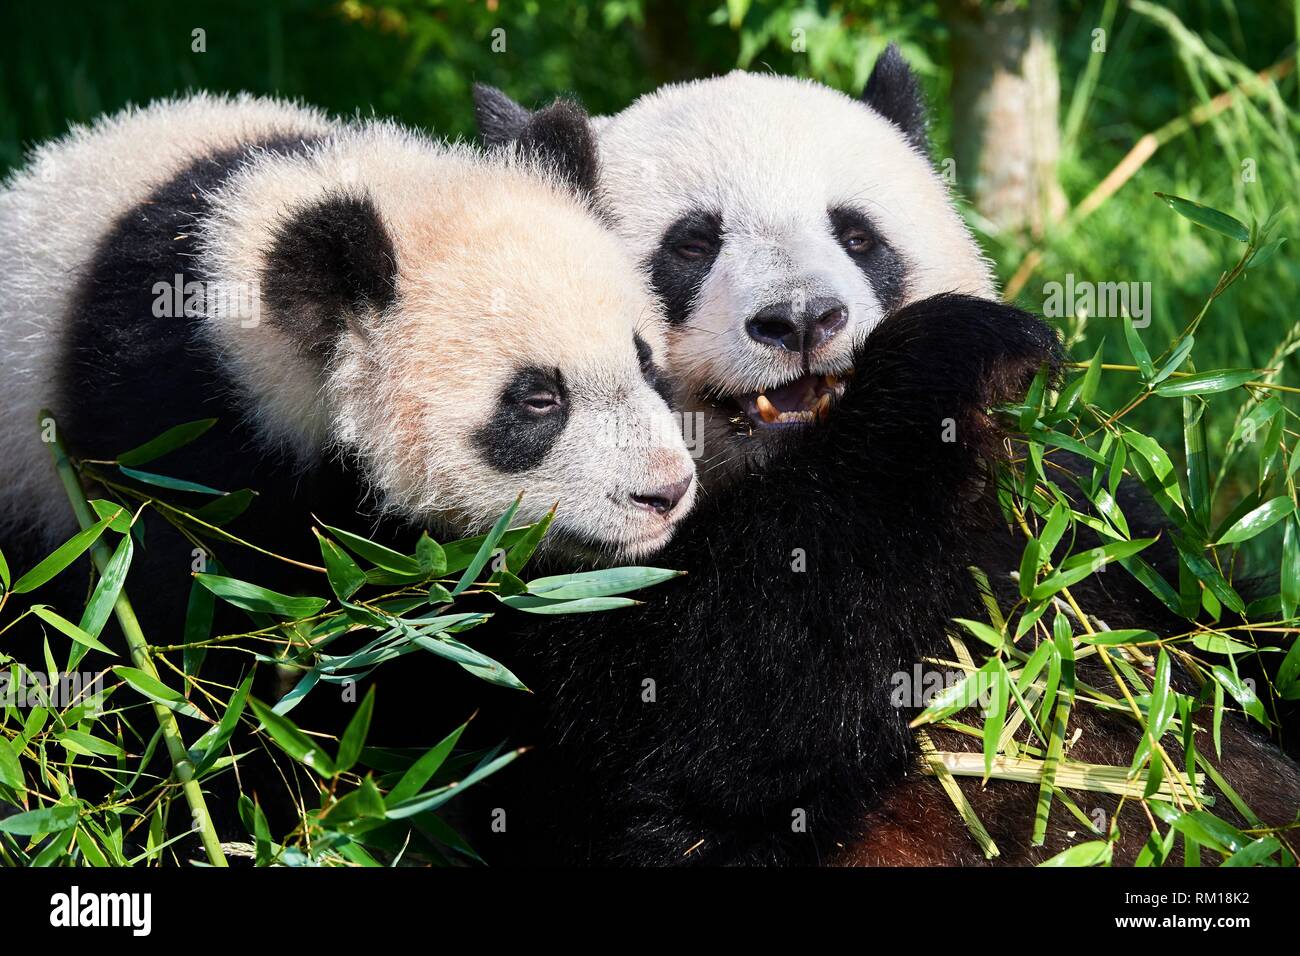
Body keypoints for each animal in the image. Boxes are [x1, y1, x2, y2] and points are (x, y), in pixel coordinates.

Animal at [470, 50, 1300, 868]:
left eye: (858, 236)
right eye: (692, 245)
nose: (801, 318)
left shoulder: (1076, 526)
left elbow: (1228, 634)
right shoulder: (542, 568)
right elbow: (696, 693)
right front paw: (954, 348)